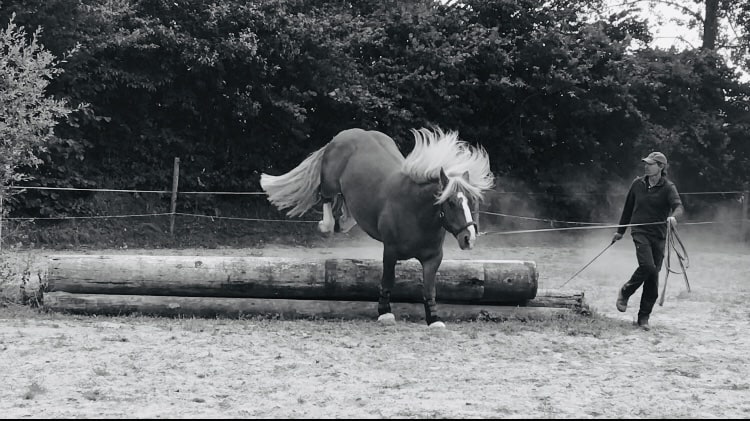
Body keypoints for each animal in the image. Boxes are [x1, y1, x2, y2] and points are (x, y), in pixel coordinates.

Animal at [260, 127, 494, 327]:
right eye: (451, 202)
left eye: (472, 201)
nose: (469, 238)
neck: (416, 212)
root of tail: (342, 135)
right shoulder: (390, 250)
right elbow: (388, 280)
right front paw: (385, 313)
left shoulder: (433, 258)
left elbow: (429, 288)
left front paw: (434, 319)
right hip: (330, 181)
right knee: (326, 197)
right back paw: (328, 224)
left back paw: (343, 222)